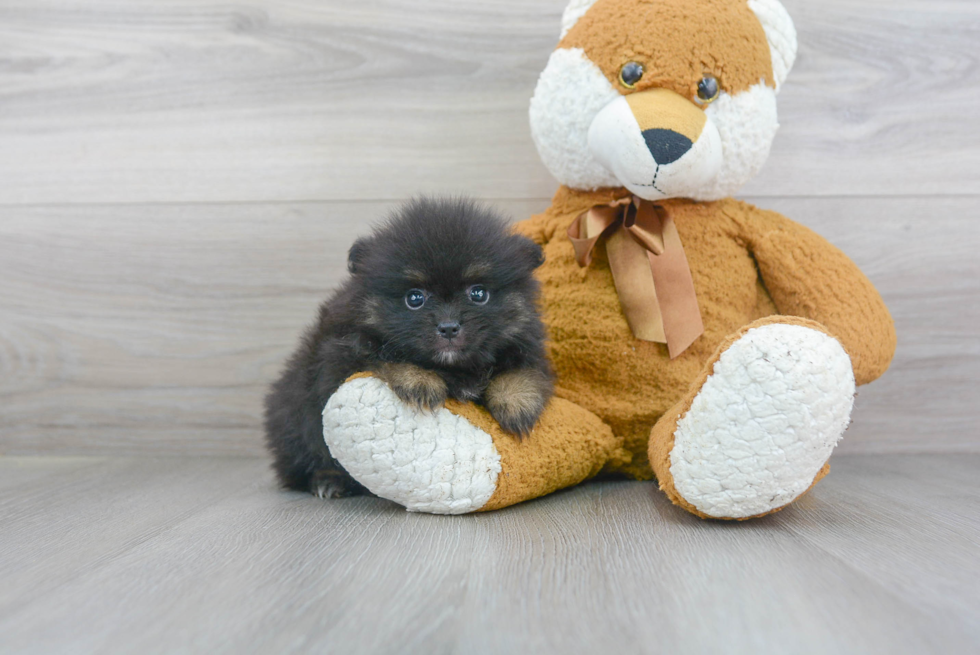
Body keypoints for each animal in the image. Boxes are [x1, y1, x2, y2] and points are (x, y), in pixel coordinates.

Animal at [262, 197, 552, 500]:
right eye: (415, 298)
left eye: (478, 293)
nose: (449, 327)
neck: (453, 368)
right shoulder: (339, 354)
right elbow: (382, 357)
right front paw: (419, 381)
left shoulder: (526, 345)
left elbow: (525, 370)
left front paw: (517, 402)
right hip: (295, 415)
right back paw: (328, 480)